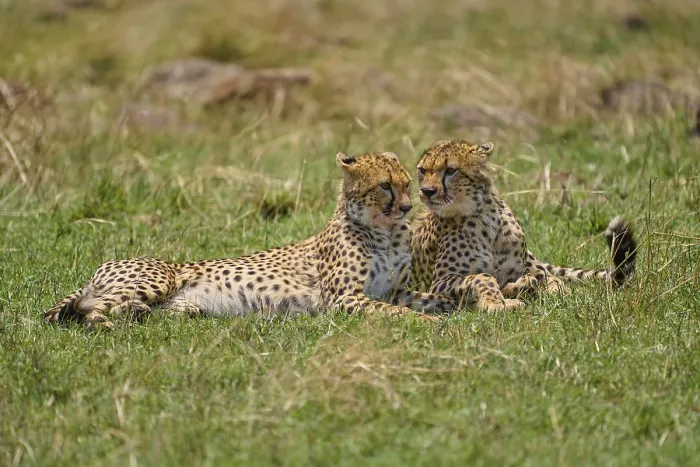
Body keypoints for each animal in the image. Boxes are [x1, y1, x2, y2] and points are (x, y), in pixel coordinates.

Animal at [44, 151, 456, 329]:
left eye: (408, 183)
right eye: (385, 186)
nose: (407, 207)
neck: (384, 230)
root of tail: (103, 266)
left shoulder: (394, 290)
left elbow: (431, 299)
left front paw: (460, 305)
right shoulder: (344, 299)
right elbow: (398, 313)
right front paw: (431, 324)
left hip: (181, 306)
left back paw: (136, 314)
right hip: (156, 279)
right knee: (85, 308)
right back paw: (104, 323)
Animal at [410, 139, 637, 312]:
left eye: (450, 170)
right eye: (422, 170)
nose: (427, 191)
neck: (483, 214)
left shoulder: (537, 272)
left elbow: (554, 284)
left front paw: (520, 289)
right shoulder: (439, 281)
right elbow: (483, 276)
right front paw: (496, 302)